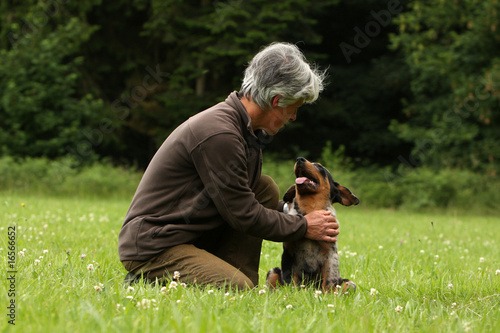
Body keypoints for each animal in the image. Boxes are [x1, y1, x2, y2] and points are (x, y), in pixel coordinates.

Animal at [266, 157, 360, 292]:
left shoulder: (330, 255)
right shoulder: (288, 254)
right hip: (273, 271)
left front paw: (326, 295)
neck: (310, 209)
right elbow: (289, 280)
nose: (299, 159)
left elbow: (328, 282)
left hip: (349, 283)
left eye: (320, 167)